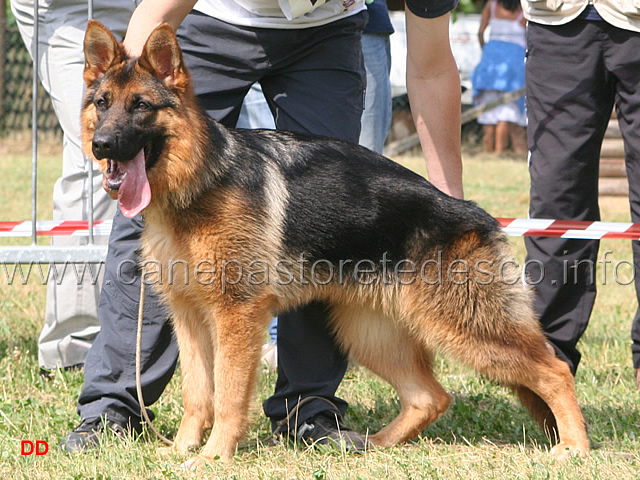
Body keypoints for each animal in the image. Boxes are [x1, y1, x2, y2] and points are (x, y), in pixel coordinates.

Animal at [81, 21, 592, 464]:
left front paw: (213, 456)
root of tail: (474, 214)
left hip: (467, 330)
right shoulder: (189, 318)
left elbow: (226, 395)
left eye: (141, 106)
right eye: (102, 103)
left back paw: (575, 448)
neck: (200, 179)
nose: (101, 145)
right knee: (430, 397)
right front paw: (182, 450)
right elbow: (196, 394)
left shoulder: (236, 317)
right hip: (370, 333)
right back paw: (372, 444)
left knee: (554, 369)